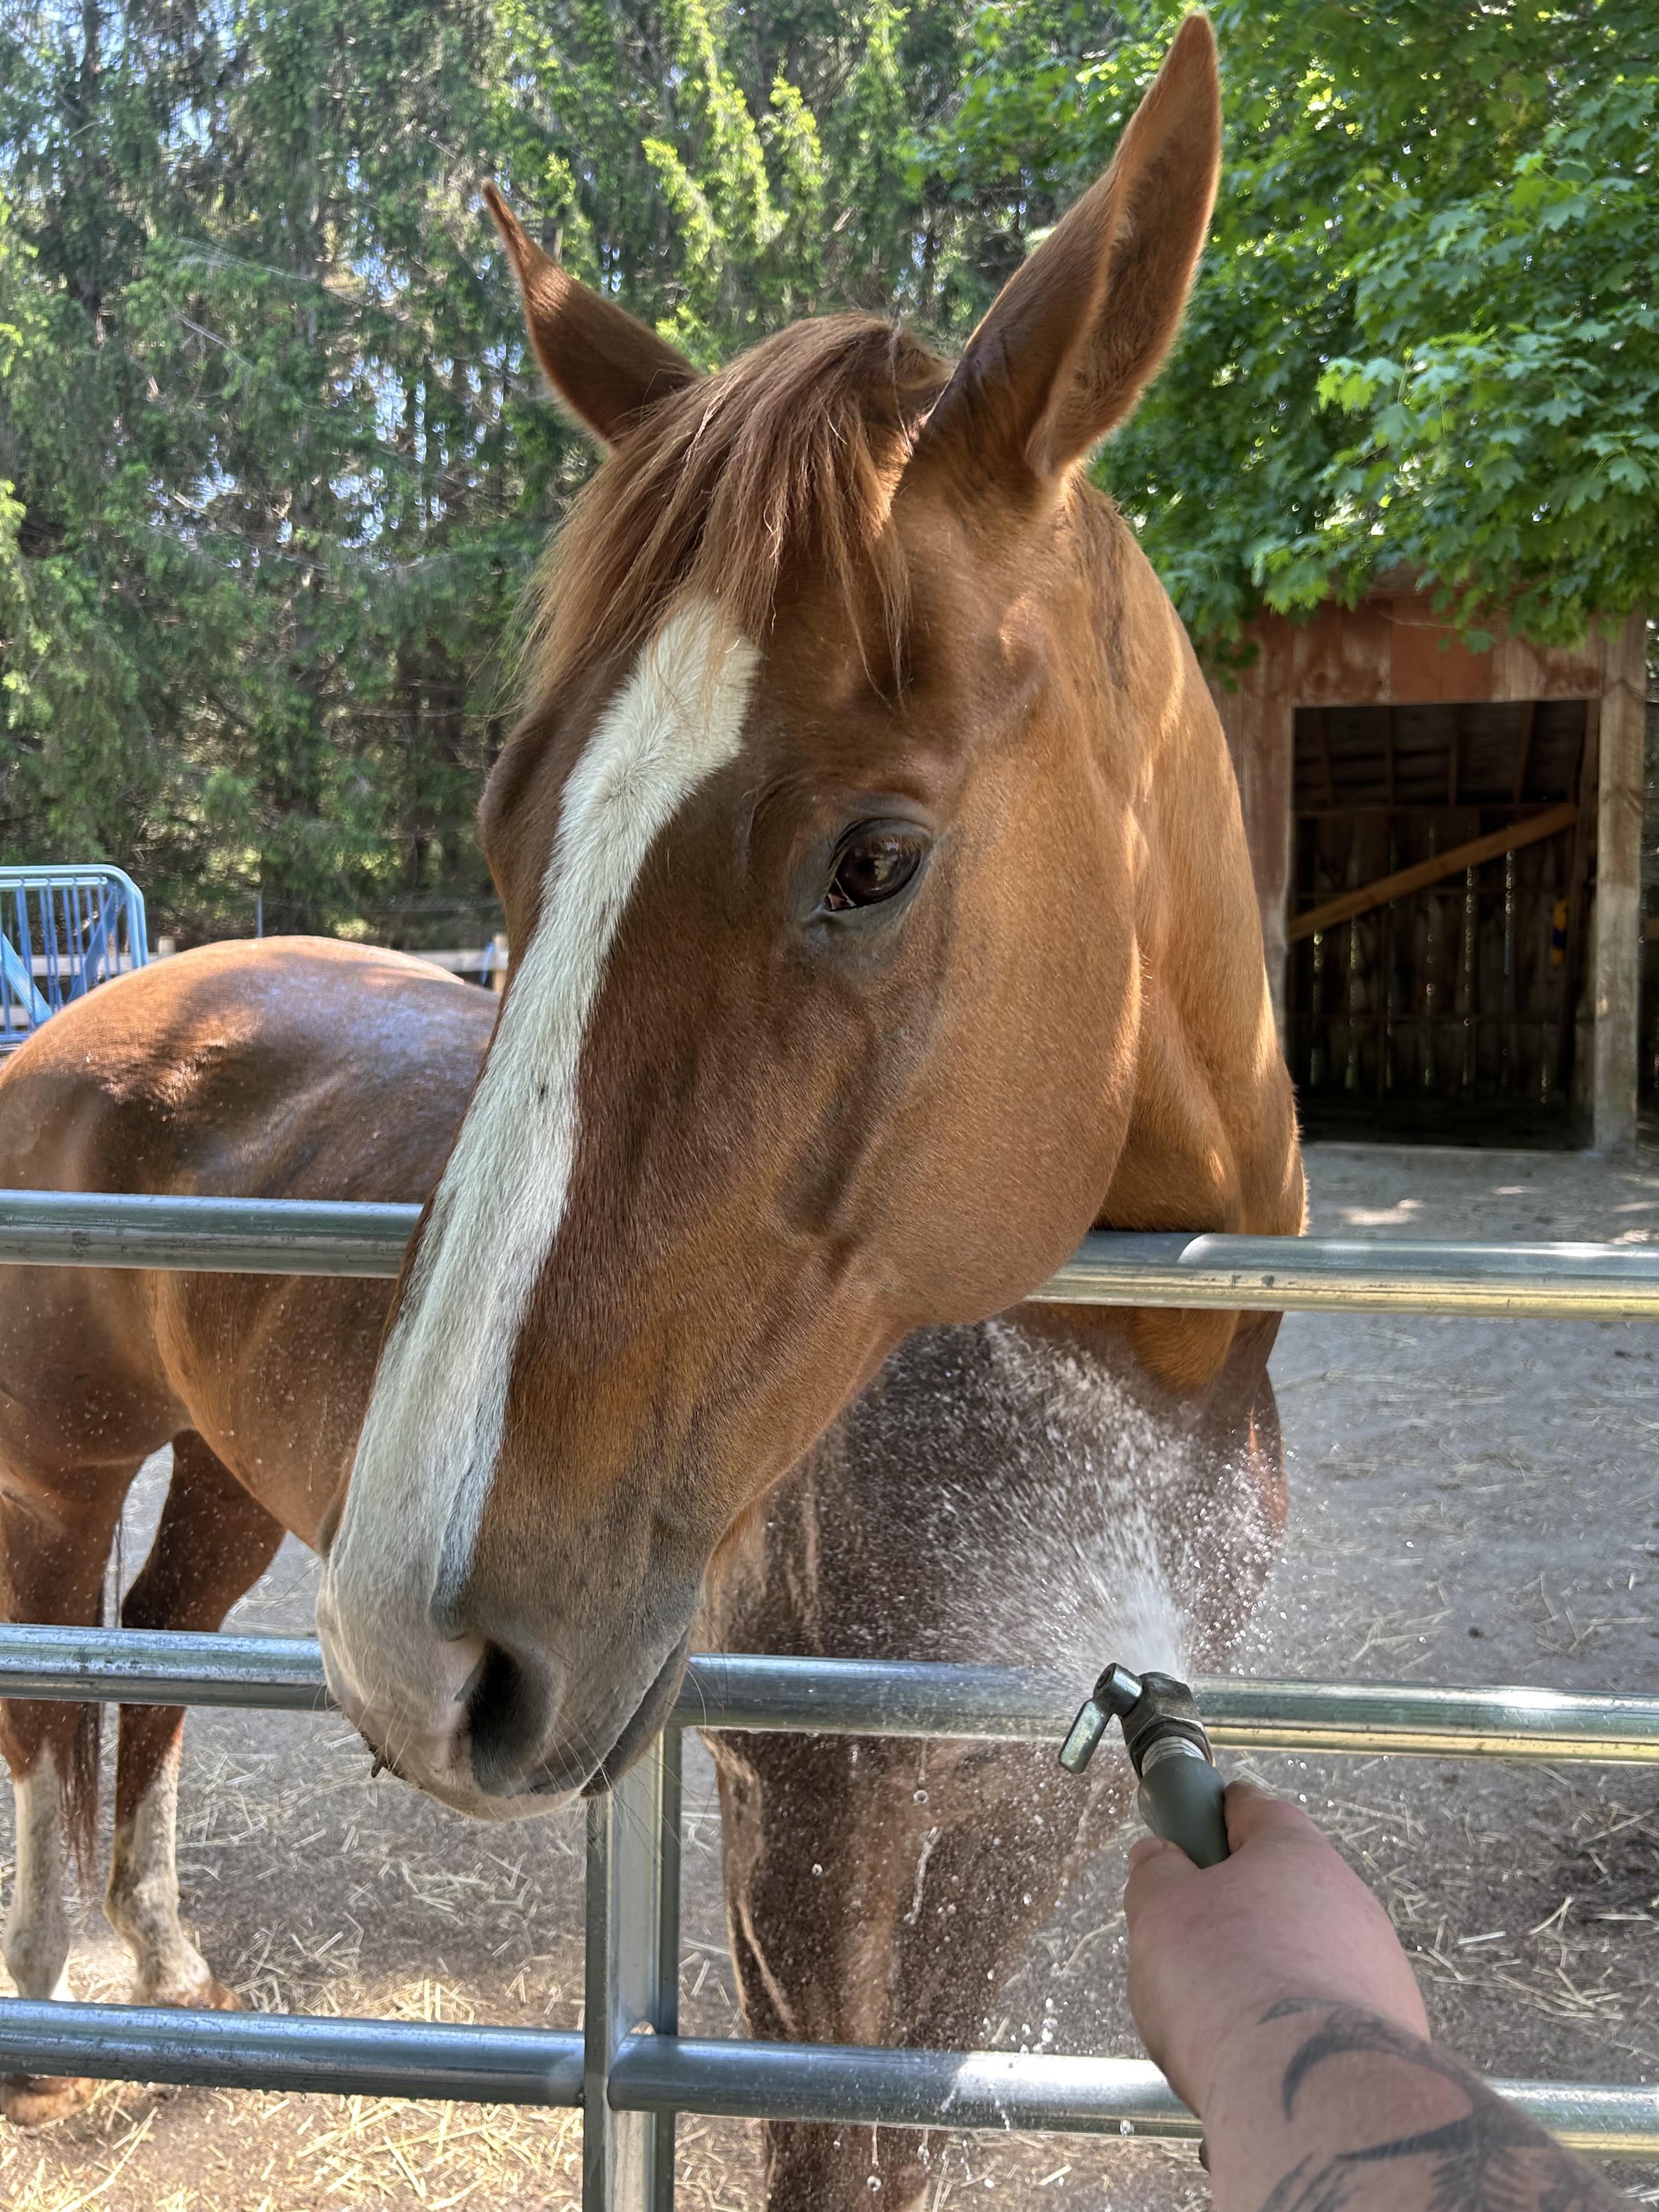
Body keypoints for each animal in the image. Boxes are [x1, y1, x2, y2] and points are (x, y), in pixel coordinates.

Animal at [0, 15, 1302, 2202]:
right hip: (63, 1471)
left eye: (873, 859)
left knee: (156, 1676)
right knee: (51, 1704)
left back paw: (164, 1967)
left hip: (236, 1483)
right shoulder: (804, 1834)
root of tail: (102, 1012)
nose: (421, 1652)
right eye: (511, 821)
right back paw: (57, 2015)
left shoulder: (1014, 1826)